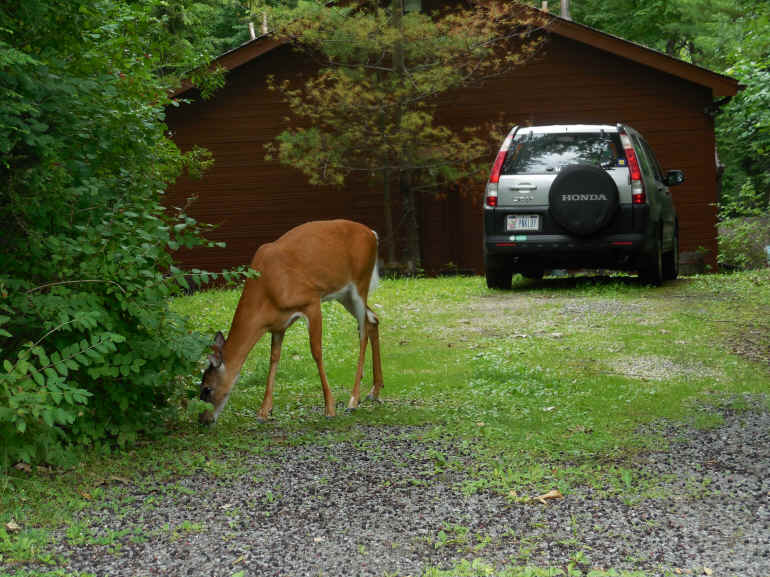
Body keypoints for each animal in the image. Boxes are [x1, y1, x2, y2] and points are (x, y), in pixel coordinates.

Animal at [199, 219, 384, 423]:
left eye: (207, 389)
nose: (202, 421)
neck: (268, 291)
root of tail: (372, 234)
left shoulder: (311, 300)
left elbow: (316, 352)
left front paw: (330, 408)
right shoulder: (278, 324)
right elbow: (274, 358)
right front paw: (264, 411)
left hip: (360, 282)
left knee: (363, 332)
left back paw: (353, 400)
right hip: (344, 295)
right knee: (373, 319)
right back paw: (374, 391)